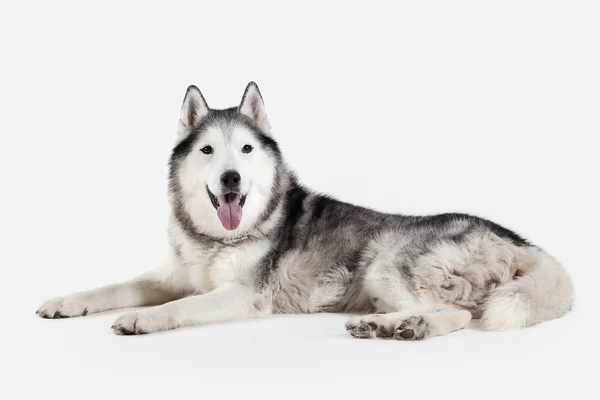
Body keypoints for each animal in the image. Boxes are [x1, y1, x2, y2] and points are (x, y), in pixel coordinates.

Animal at [36, 83, 572, 340]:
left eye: (246, 150)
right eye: (208, 150)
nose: (231, 179)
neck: (217, 240)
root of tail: (521, 241)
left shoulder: (243, 295)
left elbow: (177, 306)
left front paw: (141, 320)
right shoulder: (174, 274)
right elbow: (116, 286)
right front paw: (66, 301)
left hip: (385, 264)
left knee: (456, 313)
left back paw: (401, 327)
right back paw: (390, 326)